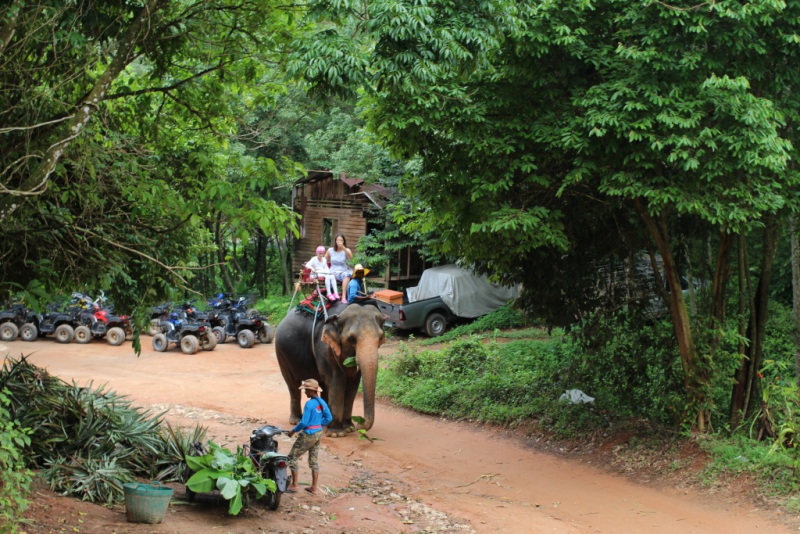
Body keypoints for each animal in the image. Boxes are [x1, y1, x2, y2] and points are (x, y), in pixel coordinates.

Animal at [276, 302, 388, 440]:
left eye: (380, 338)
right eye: (352, 339)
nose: (359, 425)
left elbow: (352, 384)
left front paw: (349, 428)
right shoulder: (325, 348)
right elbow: (336, 382)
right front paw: (337, 433)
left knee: (323, 384)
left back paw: (323, 421)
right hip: (282, 354)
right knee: (293, 384)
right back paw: (296, 420)